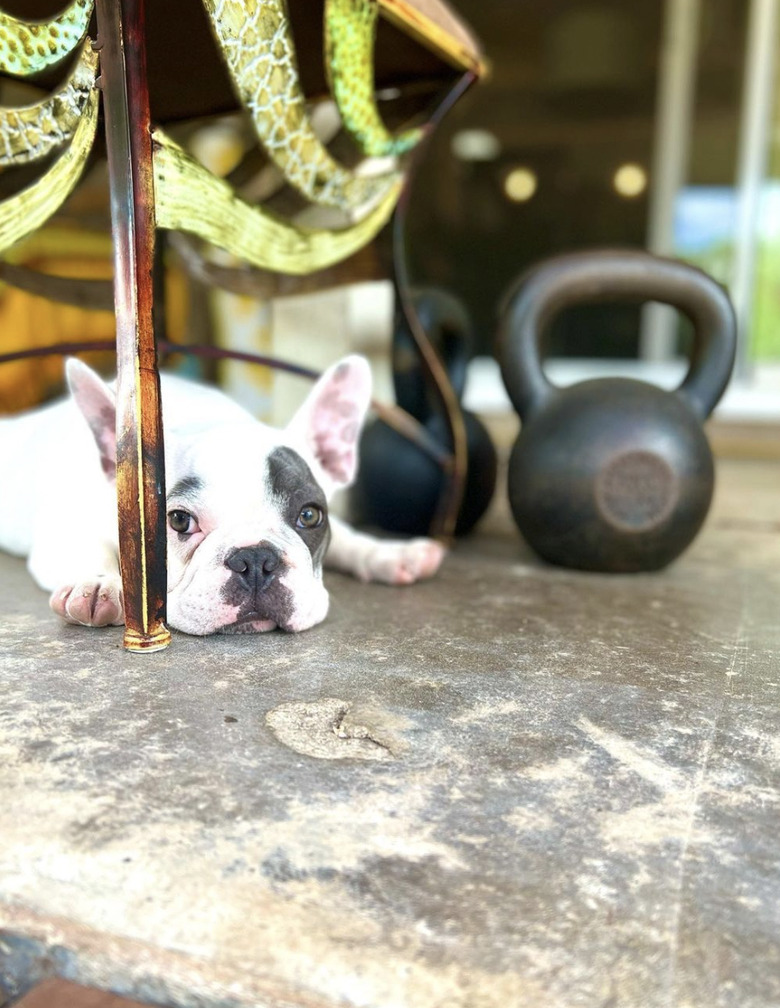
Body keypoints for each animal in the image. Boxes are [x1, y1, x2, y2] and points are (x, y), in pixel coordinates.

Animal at [0, 358, 445, 633]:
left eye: (310, 515)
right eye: (179, 520)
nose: (256, 559)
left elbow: (350, 537)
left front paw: (389, 554)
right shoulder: (67, 530)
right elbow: (93, 553)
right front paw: (98, 586)